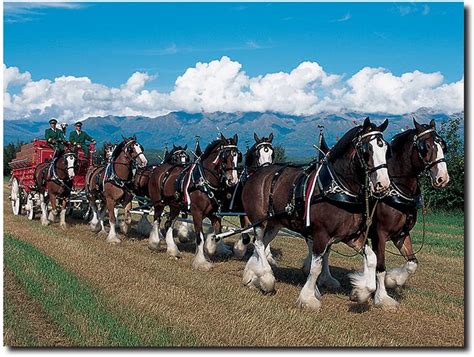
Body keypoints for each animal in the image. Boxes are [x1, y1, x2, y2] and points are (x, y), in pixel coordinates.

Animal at [147, 132, 241, 268]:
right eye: (225, 157)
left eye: (238, 156)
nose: (233, 180)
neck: (204, 181)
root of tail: (158, 169)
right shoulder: (197, 213)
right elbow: (200, 237)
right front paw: (201, 262)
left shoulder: (214, 213)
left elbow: (217, 233)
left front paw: (212, 249)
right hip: (159, 203)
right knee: (157, 220)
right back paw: (154, 243)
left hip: (175, 206)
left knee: (168, 224)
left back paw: (173, 250)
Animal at [239, 118, 390, 310]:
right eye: (367, 150)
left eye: (386, 148)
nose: (383, 184)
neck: (337, 188)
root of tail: (256, 174)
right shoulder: (320, 234)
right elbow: (315, 267)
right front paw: (308, 298)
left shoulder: (351, 235)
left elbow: (372, 258)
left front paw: (360, 292)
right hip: (259, 220)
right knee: (258, 244)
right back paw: (267, 279)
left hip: (274, 223)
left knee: (262, 244)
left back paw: (251, 276)